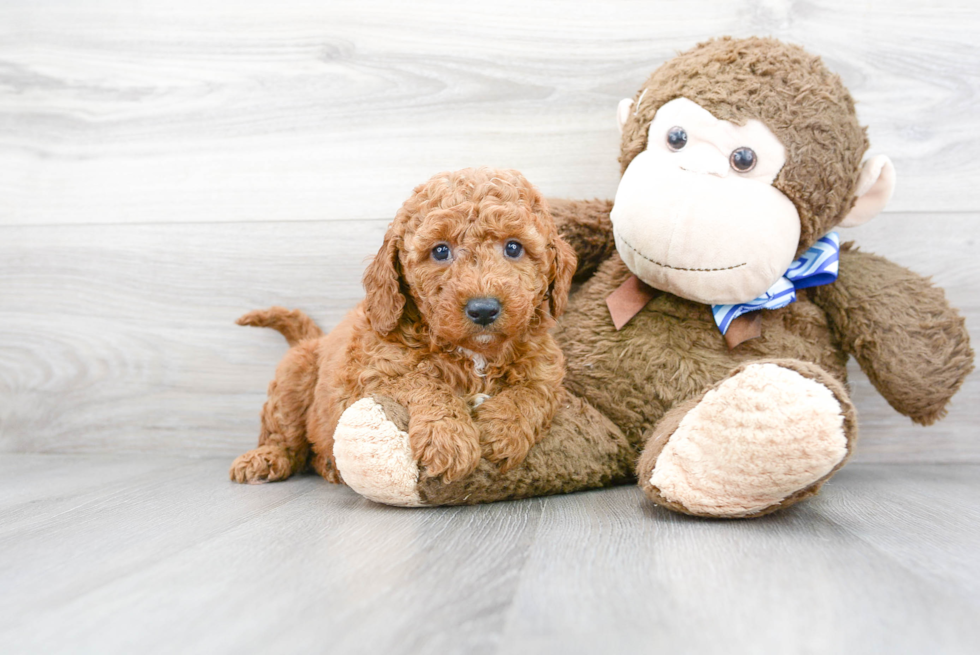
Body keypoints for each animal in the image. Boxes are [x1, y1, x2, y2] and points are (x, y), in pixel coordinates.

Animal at [233, 168, 580, 486]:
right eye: (440, 250)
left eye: (513, 248)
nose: (483, 309)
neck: (474, 354)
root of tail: (315, 339)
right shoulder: (375, 376)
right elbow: (423, 383)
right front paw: (448, 437)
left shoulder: (547, 370)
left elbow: (533, 392)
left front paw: (501, 430)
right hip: (292, 379)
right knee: (284, 432)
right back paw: (266, 458)